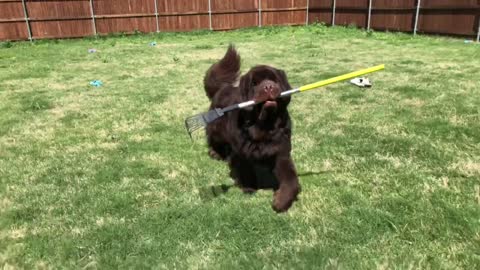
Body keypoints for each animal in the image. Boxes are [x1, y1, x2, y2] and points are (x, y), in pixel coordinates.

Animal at [202, 45, 300, 212]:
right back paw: (216, 153)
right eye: (254, 83)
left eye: (274, 80)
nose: (268, 86)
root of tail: (223, 87)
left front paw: (282, 200)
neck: (264, 125)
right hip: (216, 129)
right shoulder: (242, 150)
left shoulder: (281, 152)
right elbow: (246, 169)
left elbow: (291, 179)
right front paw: (249, 187)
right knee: (213, 138)